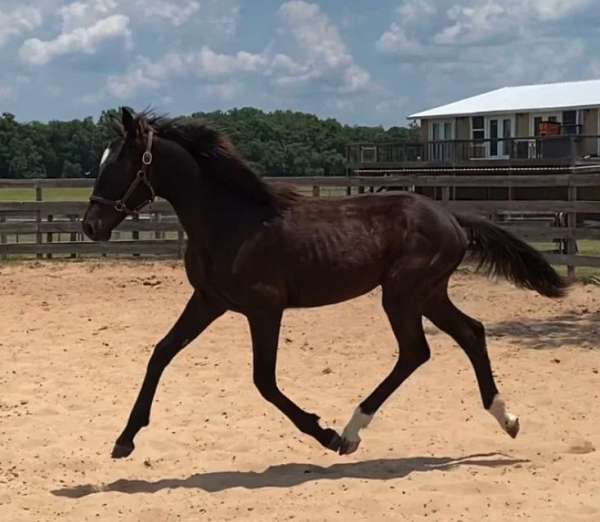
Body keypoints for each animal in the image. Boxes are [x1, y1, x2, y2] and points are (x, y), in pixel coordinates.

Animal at [81, 107, 568, 458]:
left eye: (120, 163)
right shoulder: (207, 300)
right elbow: (161, 353)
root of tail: (452, 217)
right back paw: (507, 419)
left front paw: (323, 432)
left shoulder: (264, 308)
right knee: (470, 334)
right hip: (427, 294)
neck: (232, 222)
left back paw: (349, 434)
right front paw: (124, 439)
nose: (90, 225)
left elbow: (264, 381)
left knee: (416, 351)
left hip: (403, 294)